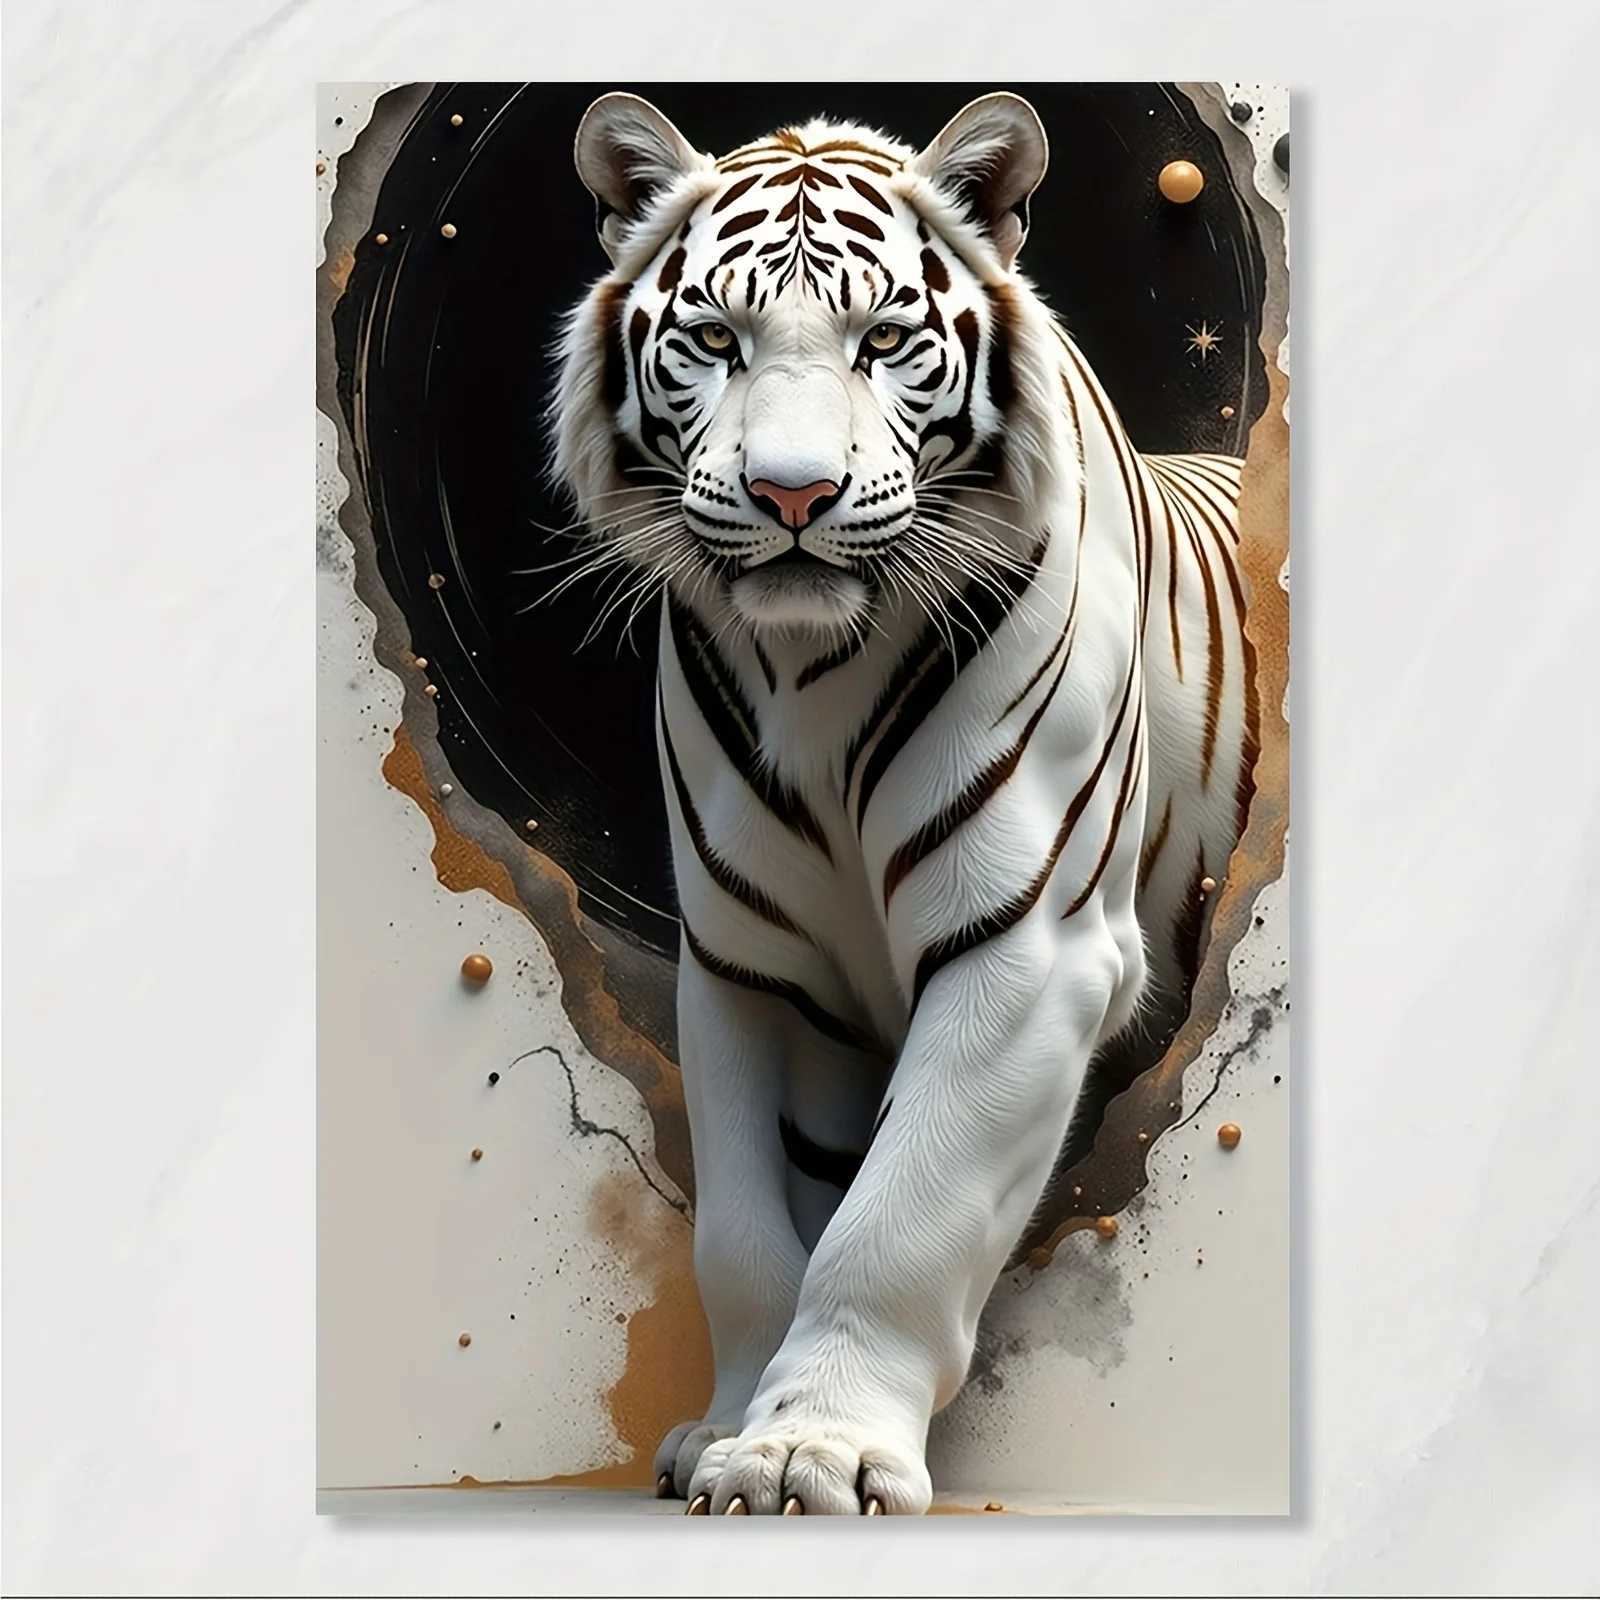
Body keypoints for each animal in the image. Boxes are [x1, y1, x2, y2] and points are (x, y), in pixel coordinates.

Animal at [550, 91, 1259, 1515]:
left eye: (882, 340)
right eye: (716, 338)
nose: (791, 493)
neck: (808, 668)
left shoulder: (1030, 945)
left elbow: (897, 1213)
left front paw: (810, 1449)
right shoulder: (745, 964)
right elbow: (745, 1234)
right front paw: (728, 1432)